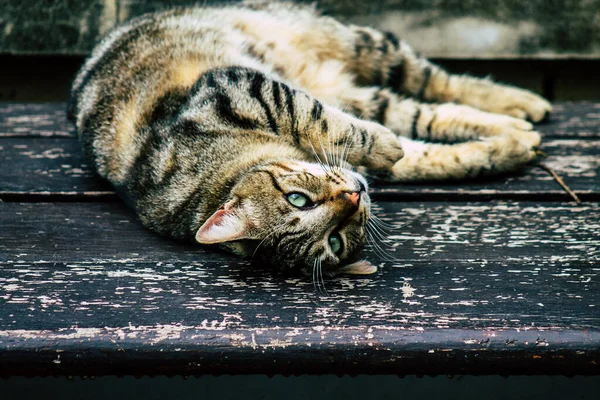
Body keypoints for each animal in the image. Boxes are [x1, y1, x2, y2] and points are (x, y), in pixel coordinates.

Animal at [68, 0, 552, 278]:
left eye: (297, 198)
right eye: (334, 240)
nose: (354, 196)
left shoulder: (235, 88)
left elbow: (313, 115)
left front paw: (385, 145)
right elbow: (424, 155)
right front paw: (500, 149)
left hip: (361, 45)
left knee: (435, 81)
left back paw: (523, 102)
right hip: (356, 85)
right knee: (417, 109)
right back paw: (516, 126)